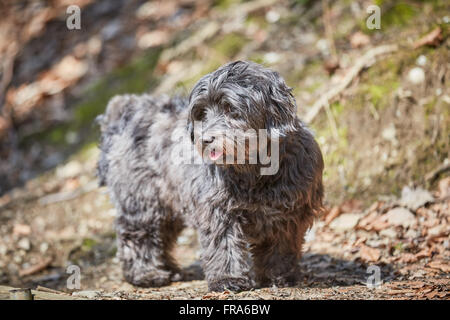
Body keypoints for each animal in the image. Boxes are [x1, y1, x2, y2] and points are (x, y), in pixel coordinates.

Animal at [97, 60, 324, 292]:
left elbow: (281, 247)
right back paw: (146, 273)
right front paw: (228, 279)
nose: (205, 139)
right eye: (202, 113)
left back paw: (170, 269)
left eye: (230, 108)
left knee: (163, 235)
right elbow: (225, 244)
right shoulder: (219, 211)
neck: (254, 170)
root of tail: (124, 110)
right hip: (143, 200)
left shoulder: (289, 213)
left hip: (170, 203)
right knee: (138, 234)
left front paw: (278, 276)